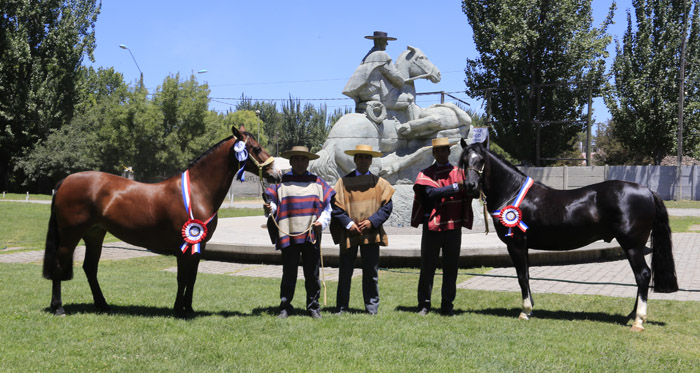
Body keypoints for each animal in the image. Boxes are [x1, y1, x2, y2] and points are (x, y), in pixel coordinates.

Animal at [42, 126, 278, 316]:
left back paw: (103, 305)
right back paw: (59, 308)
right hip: (70, 236)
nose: (276, 174)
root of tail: (65, 181)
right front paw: (178, 310)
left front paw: (188, 308)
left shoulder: (198, 245)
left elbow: (192, 277)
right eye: (256, 148)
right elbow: (182, 277)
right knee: (60, 265)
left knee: (90, 268)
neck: (198, 191)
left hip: (94, 234)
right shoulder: (184, 244)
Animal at [460, 140, 680, 332]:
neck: (512, 193)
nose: (470, 185)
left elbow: (522, 276)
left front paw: (525, 312)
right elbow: (527, 275)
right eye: (464, 160)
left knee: (643, 275)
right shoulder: (525, 246)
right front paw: (531, 308)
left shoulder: (516, 244)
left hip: (632, 246)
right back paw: (632, 314)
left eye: (481, 160)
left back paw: (638, 321)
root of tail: (647, 190)